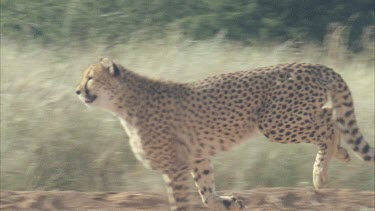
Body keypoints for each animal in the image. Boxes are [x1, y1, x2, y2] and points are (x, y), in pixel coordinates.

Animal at [75, 56, 374, 210]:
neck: (124, 103)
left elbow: (181, 201)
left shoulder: (175, 167)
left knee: (330, 123)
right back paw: (342, 154)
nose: (77, 91)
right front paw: (228, 202)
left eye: (90, 77)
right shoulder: (196, 157)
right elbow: (206, 191)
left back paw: (320, 174)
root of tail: (312, 64)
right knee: (332, 118)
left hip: (273, 121)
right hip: (284, 119)